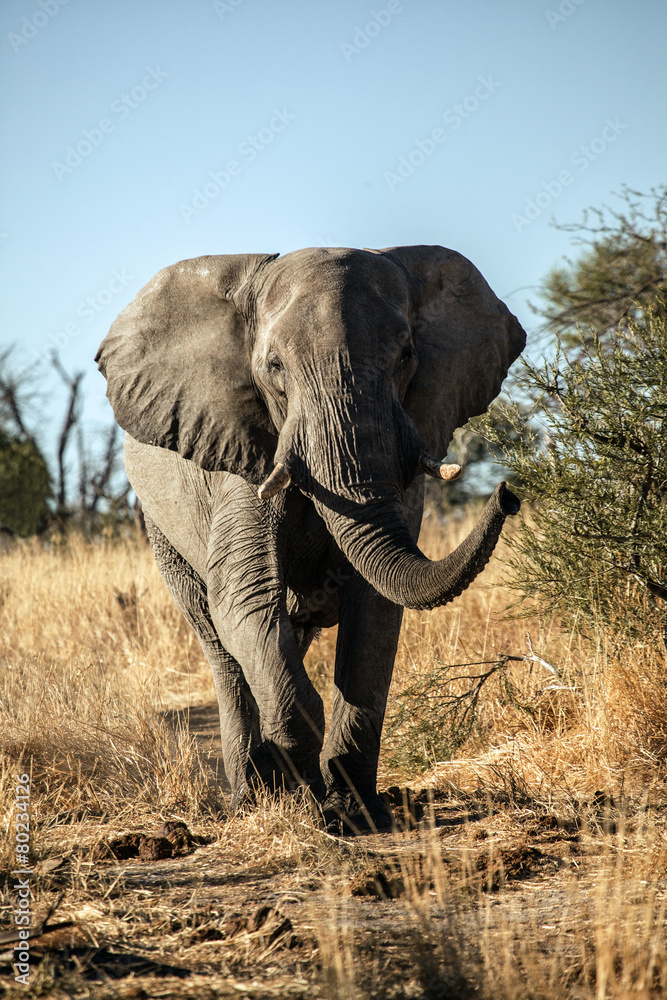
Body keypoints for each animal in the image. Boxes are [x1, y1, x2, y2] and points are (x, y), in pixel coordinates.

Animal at [96, 244, 525, 834]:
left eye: (406, 355)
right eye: (274, 367)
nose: (508, 493)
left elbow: (375, 607)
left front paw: (358, 815)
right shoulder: (241, 455)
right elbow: (245, 598)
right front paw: (300, 795)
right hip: (160, 524)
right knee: (218, 639)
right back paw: (249, 796)